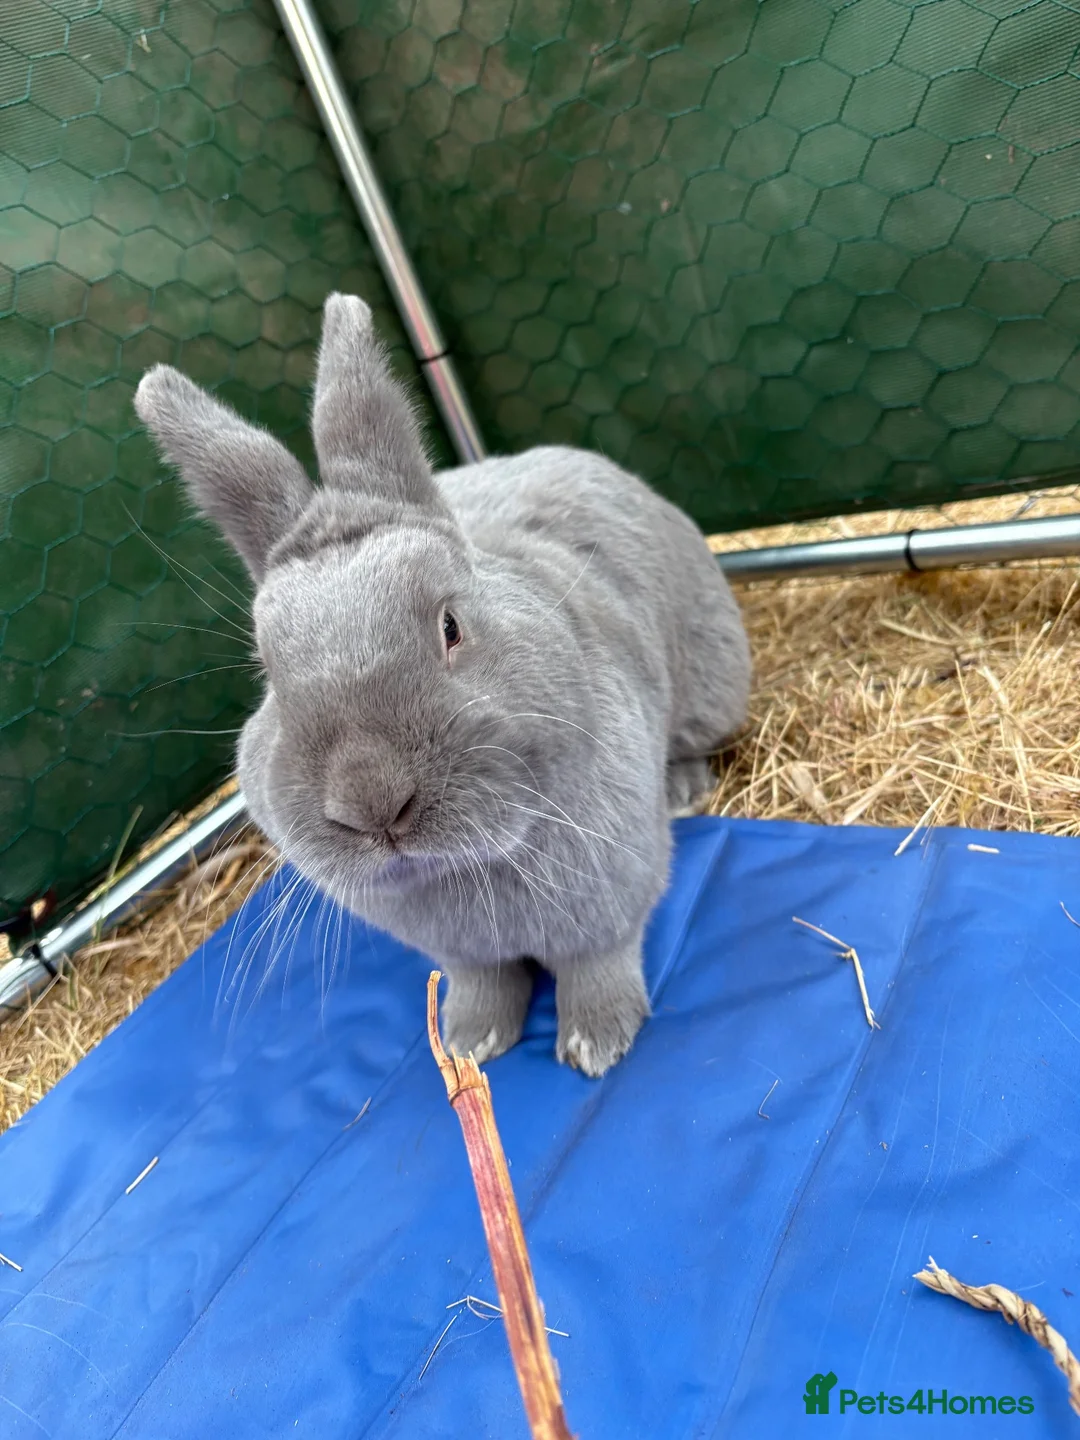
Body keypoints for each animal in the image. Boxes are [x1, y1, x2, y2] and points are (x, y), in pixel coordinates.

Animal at [134, 293, 750, 1077]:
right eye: (269, 672)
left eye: (451, 627)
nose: (371, 803)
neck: (471, 862)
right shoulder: (463, 955)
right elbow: (483, 982)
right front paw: (469, 1044)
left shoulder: (610, 899)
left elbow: (598, 963)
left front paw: (596, 1046)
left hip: (710, 687)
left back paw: (683, 787)